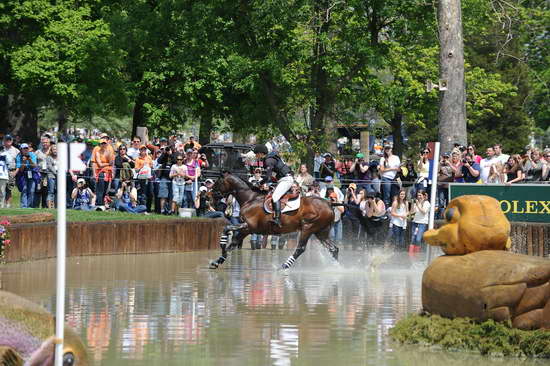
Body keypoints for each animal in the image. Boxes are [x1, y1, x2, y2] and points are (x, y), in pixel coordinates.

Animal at [211, 173, 340, 270]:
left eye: (217, 182)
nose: (212, 196)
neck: (250, 199)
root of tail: (329, 203)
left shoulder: (248, 226)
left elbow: (227, 229)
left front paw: (222, 244)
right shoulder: (246, 229)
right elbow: (233, 243)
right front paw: (218, 261)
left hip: (308, 228)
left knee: (300, 248)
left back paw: (285, 266)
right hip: (321, 231)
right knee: (333, 249)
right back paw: (336, 267)